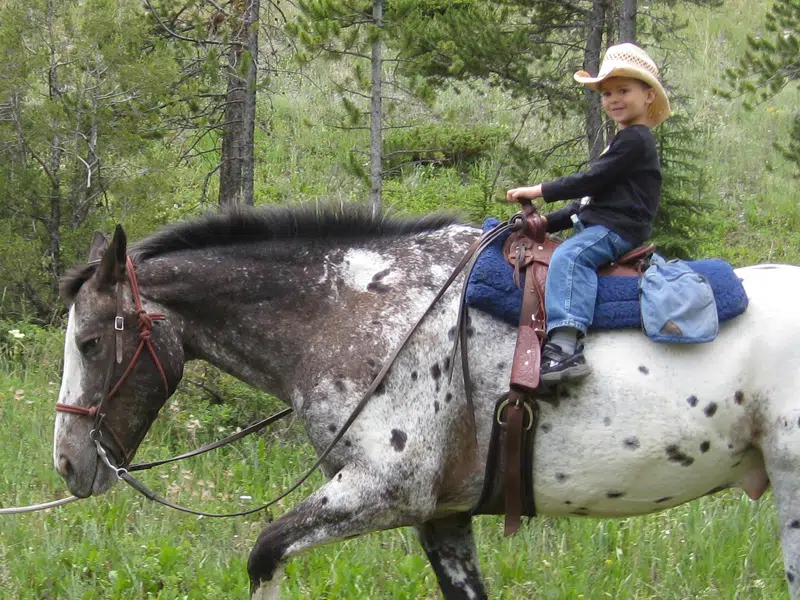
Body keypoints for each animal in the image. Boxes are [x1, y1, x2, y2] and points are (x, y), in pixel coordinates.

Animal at [53, 204, 800, 596]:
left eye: (89, 342)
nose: (67, 464)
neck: (350, 313)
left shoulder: (385, 490)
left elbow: (264, 552)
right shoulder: (442, 515)